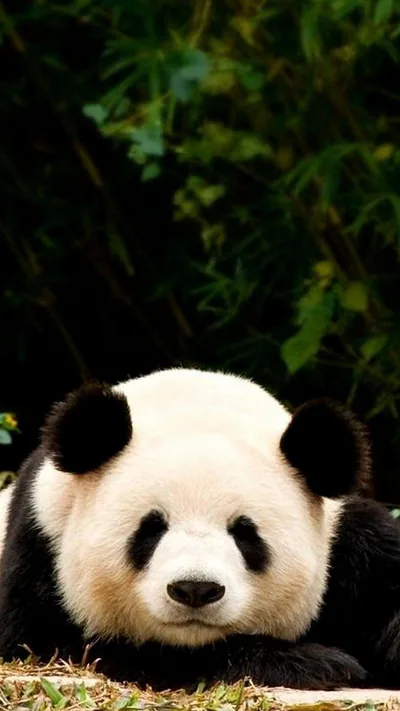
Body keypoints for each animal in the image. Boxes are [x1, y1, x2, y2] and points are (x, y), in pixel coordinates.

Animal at [1, 367, 400, 691]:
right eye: (151, 529)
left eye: (245, 534)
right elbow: (61, 645)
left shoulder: (353, 543)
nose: (195, 589)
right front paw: (314, 664)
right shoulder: (41, 541)